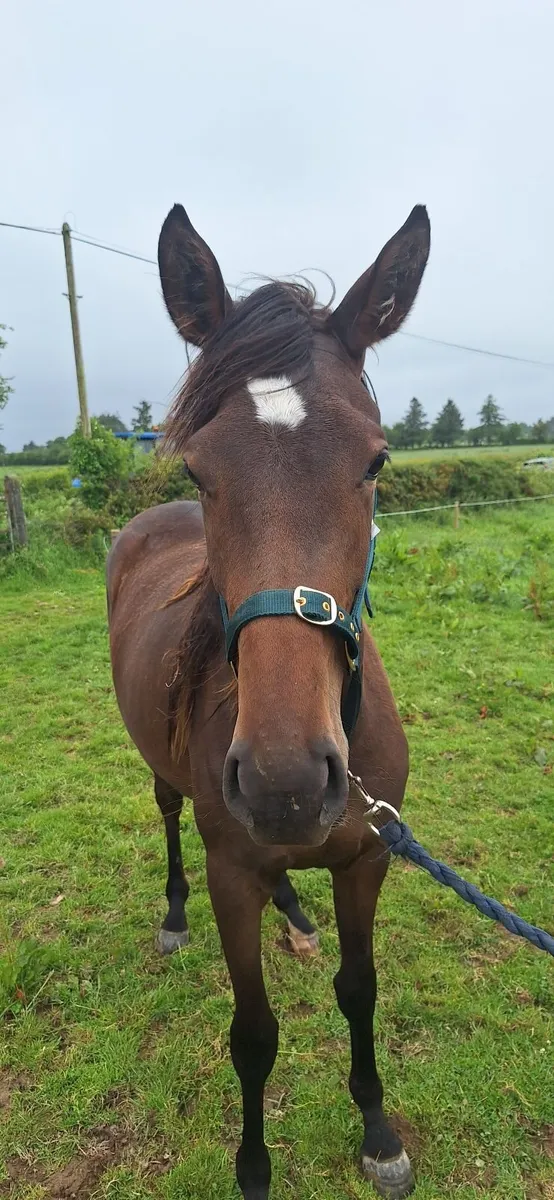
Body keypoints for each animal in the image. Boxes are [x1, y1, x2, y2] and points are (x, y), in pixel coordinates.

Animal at [107, 201, 430, 1199]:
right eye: (198, 471)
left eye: (376, 461)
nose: (285, 783)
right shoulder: (231, 875)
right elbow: (253, 1037)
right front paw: (253, 1167)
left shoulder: (367, 859)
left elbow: (360, 993)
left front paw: (378, 1133)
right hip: (165, 779)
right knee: (168, 815)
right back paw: (176, 917)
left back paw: (298, 913)